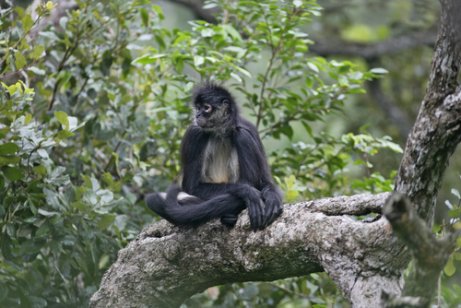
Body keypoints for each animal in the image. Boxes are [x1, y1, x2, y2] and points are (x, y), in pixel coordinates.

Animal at [146, 83, 282, 230]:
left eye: (206, 108)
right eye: (198, 108)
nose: (197, 115)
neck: (220, 132)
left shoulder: (248, 127)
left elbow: (266, 181)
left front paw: (272, 197)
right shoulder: (194, 132)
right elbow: (193, 187)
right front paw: (247, 191)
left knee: (242, 136)